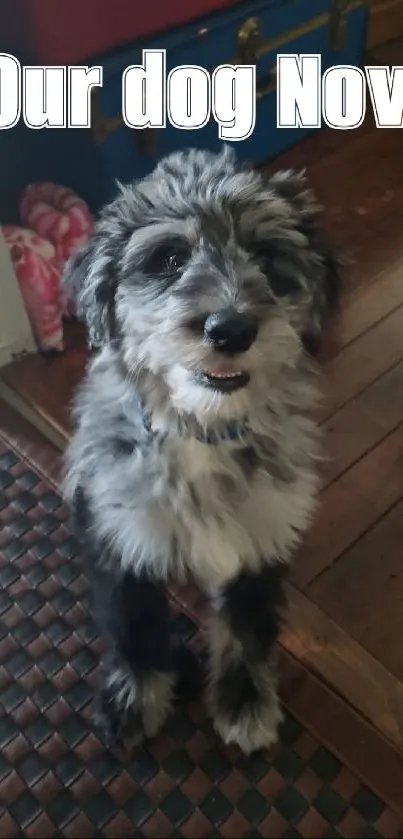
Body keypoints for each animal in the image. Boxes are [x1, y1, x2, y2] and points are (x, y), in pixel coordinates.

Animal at [64, 144, 342, 756]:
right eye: (168, 258)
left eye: (267, 256)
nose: (231, 329)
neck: (201, 429)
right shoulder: (121, 539)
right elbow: (133, 629)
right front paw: (134, 701)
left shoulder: (263, 538)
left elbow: (246, 629)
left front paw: (244, 702)